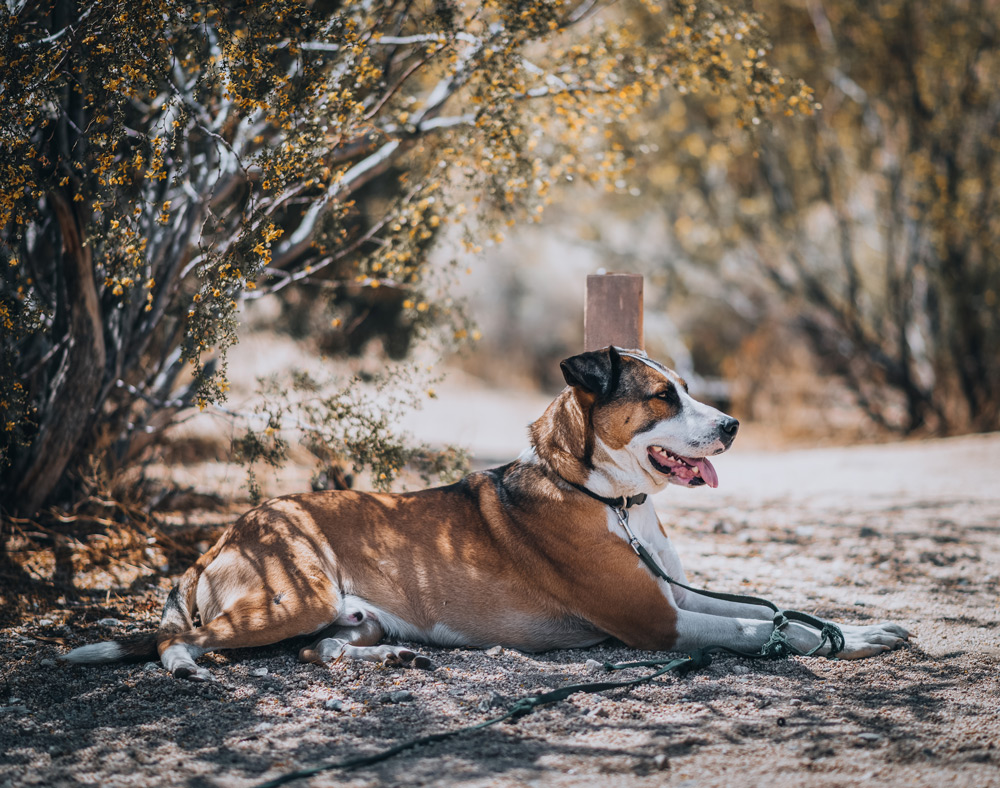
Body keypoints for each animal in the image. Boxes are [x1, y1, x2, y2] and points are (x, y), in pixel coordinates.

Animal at [60, 348, 908, 680]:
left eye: (691, 388)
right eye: (663, 397)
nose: (732, 425)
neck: (607, 498)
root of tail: (228, 533)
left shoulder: (673, 595)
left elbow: (780, 612)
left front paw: (861, 631)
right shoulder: (658, 619)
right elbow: (758, 628)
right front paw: (835, 643)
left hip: (337, 615)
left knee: (317, 650)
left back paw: (383, 660)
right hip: (290, 596)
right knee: (175, 637)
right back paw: (183, 663)